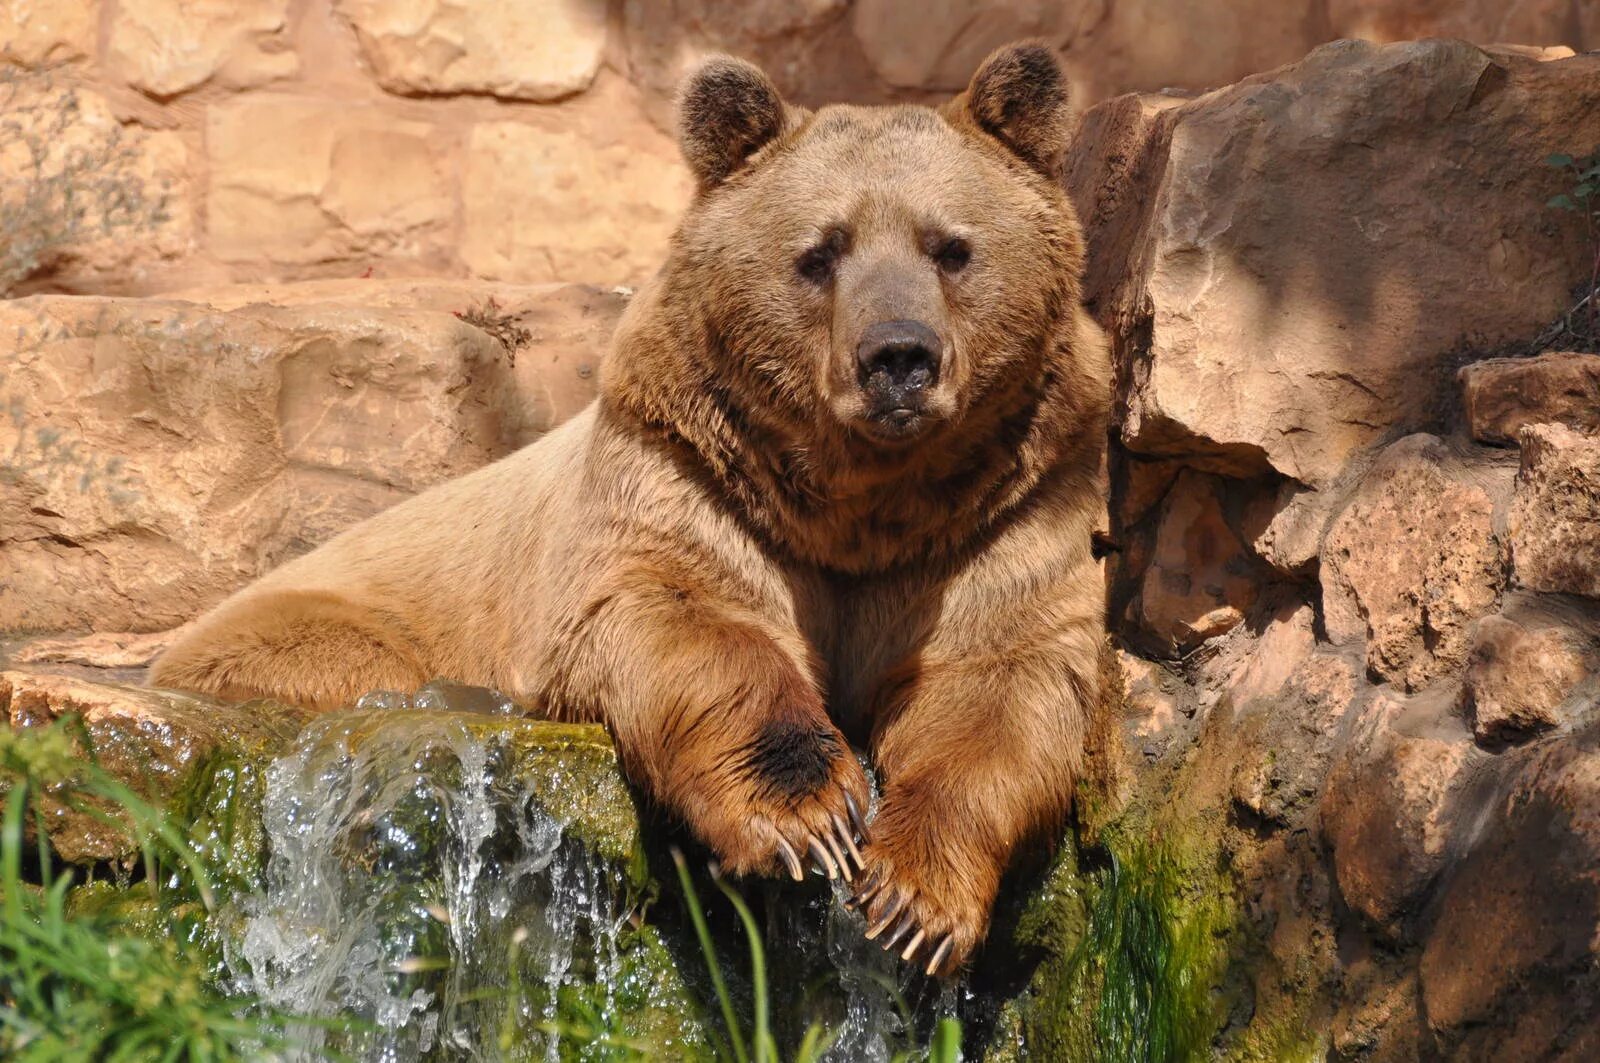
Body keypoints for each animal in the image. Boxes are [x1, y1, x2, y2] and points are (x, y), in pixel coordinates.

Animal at [152, 41, 1113, 973]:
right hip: (313, 635)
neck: (861, 505)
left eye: (951, 247)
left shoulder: (1002, 514)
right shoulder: (688, 475)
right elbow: (683, 621)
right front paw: (808, 816)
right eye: (820, 253)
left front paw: (914, 899)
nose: (899, 358)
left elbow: (996, 680)